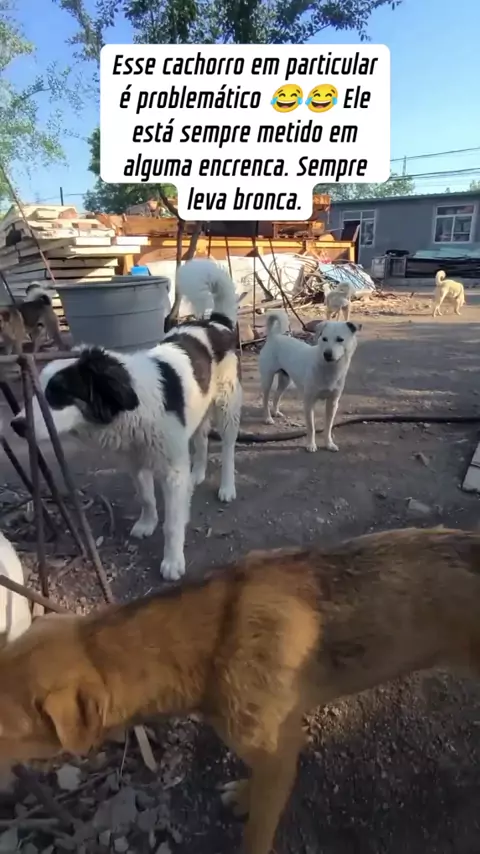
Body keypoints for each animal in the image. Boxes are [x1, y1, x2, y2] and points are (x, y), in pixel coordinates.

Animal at [1, 527, 480, 853]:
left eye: (3, 729)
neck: (214, 640)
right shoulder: (274, 750)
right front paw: (245, 796)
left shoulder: (279, 754)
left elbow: (257, 833)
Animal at [11, 259, 242, 581]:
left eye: (58, 393)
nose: (16, 425)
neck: (131, 407)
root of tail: (214, 322)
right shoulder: (134, 460)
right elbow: (145, 496)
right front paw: (147, 523)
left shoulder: (171, 470)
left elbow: (172, 524)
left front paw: (172, 561)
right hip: (198, 406)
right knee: (200, 437)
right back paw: (196, 474)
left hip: (226, 405)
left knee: (229, 448)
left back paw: (227, 487)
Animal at [259, 310, 360, 453]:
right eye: (324, 339)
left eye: (340, 339)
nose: (327, 354)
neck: (328, 369)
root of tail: (274, 337)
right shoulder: (309, 402)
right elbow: (311, 427)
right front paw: (311, 445)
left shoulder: (332, 403)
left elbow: (328, 426)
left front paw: (329, 444)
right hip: (267, 379)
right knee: (265, 399)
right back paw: (268, 418)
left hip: (286, 380)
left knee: (277, 395)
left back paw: (276, 412)